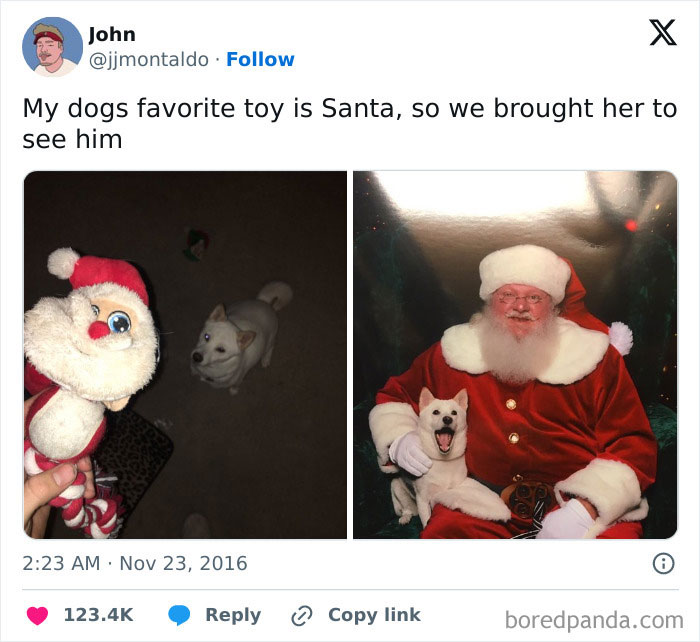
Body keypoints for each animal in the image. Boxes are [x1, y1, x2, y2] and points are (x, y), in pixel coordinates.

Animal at [388, 384, 508, 524]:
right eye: (435, 412)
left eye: (454, 413)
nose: (447, 419)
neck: (443, 461)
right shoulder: (422, 499)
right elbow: (426, 520)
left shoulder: (455, 487)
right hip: (397, 486)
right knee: (407, 509)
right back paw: (405, 517)